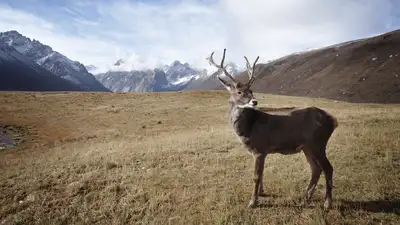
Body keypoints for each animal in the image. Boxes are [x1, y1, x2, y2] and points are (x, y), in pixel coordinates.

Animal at [208, 48, 340, 210]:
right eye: (239, 92)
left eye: (251, 90)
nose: (254, 101)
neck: (248, 129)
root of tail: (332, 120)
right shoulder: (262, 151)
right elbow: (262, 173)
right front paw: (261, 193)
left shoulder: (259, 149)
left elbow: (256, 176)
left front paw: (252, 201)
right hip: (307, 147)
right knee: (316, 168)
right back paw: (305, 197)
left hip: (318, 143)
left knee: (328, 168)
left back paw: (327, 203)